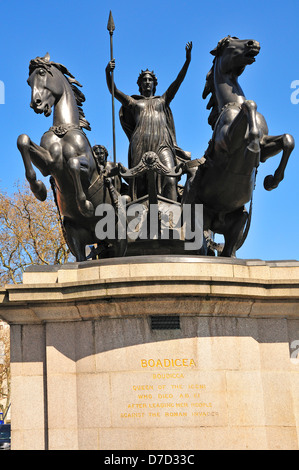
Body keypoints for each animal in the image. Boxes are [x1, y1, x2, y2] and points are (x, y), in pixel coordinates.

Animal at [17, 53, 123, 262]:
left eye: (42, 73)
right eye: (28, 81)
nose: (36, 104)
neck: (63, 129)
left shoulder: (88, 167)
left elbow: (73, 164)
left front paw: (86, 206)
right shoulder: (49, 164)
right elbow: (23, 140)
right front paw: (39, 190)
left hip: (118, 235)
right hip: (74, 236)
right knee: (82, 257)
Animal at [183, 36, 296, 258]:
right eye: (228, 43)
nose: (254, 43)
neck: (232, 104)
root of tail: (216, 218)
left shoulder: (266, 145)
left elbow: (287, 139)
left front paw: (271, 181)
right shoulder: (226, 142)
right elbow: (250, 104)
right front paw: (252, 146)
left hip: (238, 222)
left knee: (228, 252)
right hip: (198, 221)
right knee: (200, 248)